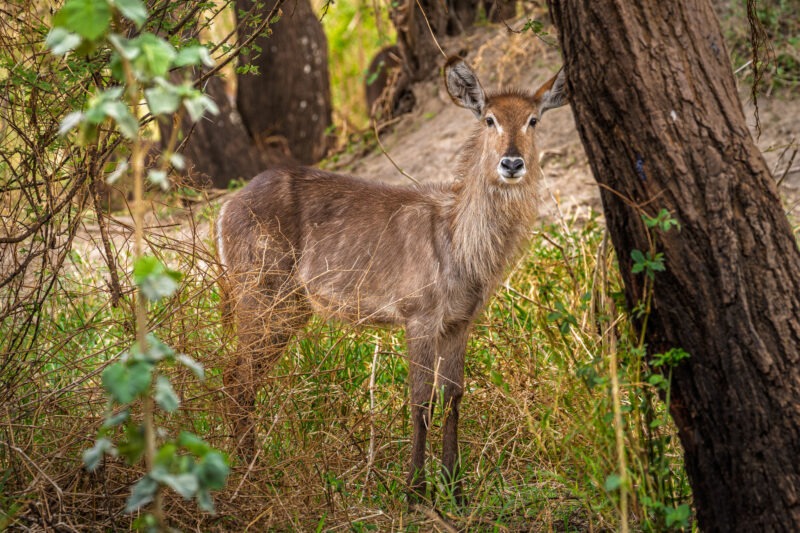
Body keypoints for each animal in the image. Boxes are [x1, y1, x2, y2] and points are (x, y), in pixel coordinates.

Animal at [217, 57, 568, 498]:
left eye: (533, 120)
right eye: (490, 119)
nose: (512, 163)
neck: (459, 242)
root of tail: (226, 208)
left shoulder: (459, 322)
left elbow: (454, 396)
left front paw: (455, 488)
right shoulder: (419, 317)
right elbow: (420, 400)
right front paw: (415, 491)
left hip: (291, 307)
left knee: (243, 379)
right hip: (261, 297)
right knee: (236, 377)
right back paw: (251, 476)